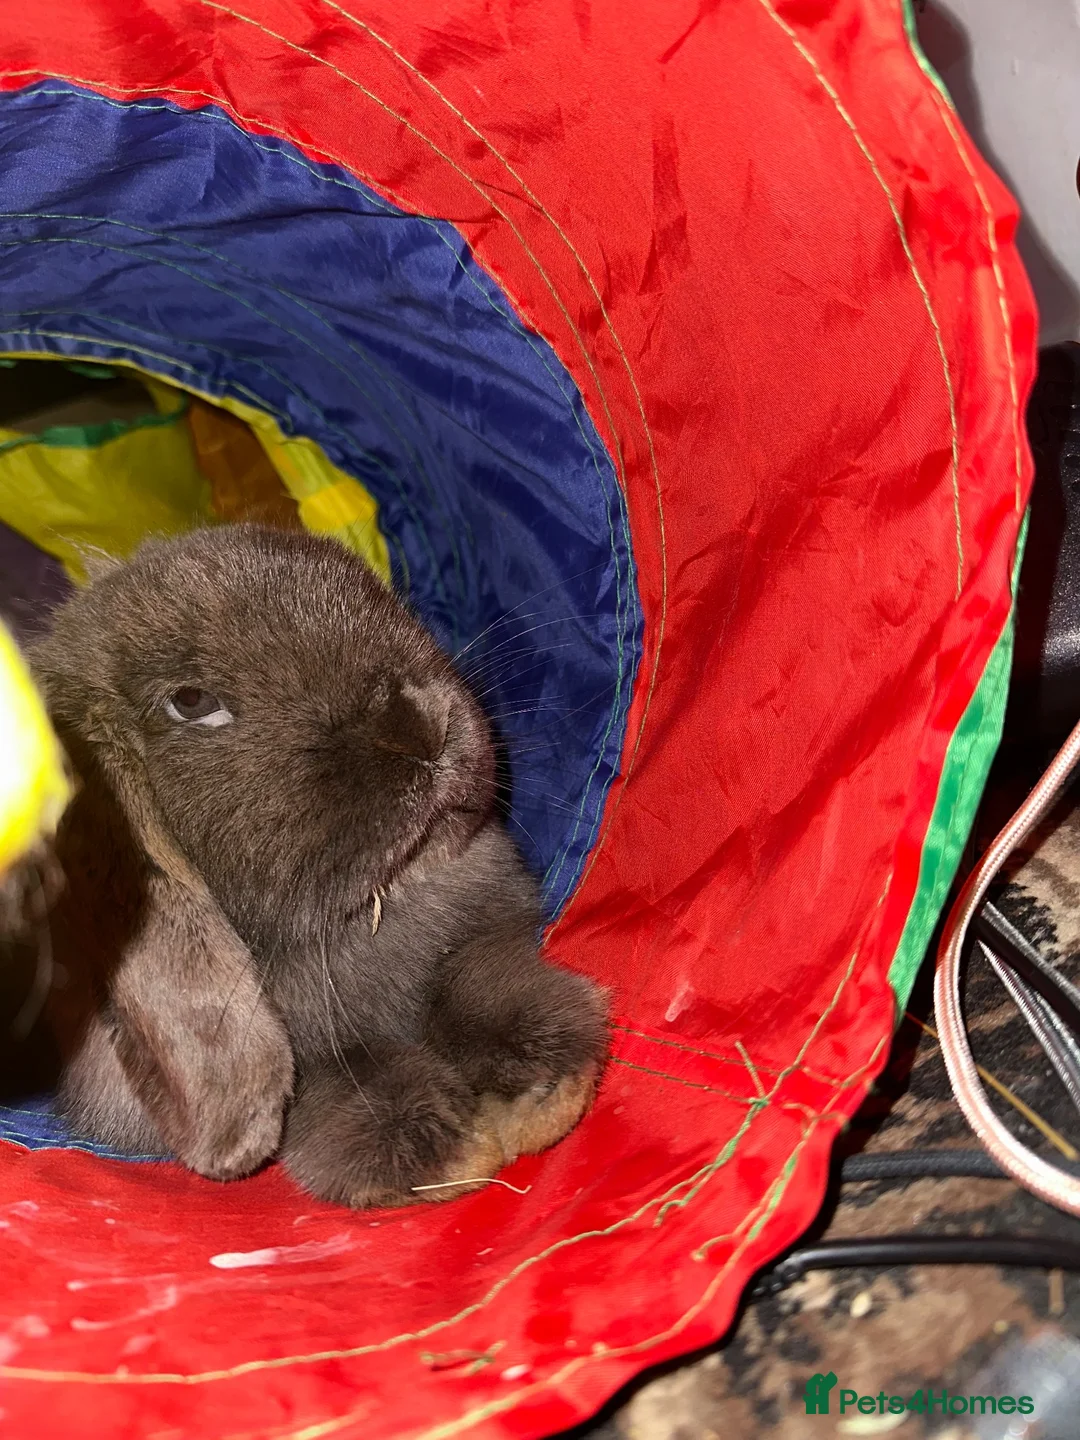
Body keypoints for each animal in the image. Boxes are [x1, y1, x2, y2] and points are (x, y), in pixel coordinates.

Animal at [29, 524, 608, 1206]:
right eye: (191, 702)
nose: (420, 724)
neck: (372, 918)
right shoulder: (311, 1058)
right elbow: (341, 1074)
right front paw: (451, 1152)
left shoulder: (482, 932)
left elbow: (471, 979)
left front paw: (542, 1088)